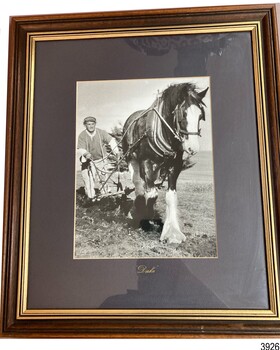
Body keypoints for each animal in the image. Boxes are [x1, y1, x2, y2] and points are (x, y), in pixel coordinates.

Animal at [122, 83, 208, 243]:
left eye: (200, 115)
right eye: (183, 115)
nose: (193, 148)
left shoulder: (175, 165)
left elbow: (170, 196)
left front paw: (172, 233)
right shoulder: (145, 161)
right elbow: (152, 193)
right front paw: (147, 220)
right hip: (131, 158)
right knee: (138, 184)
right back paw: (137, 211)